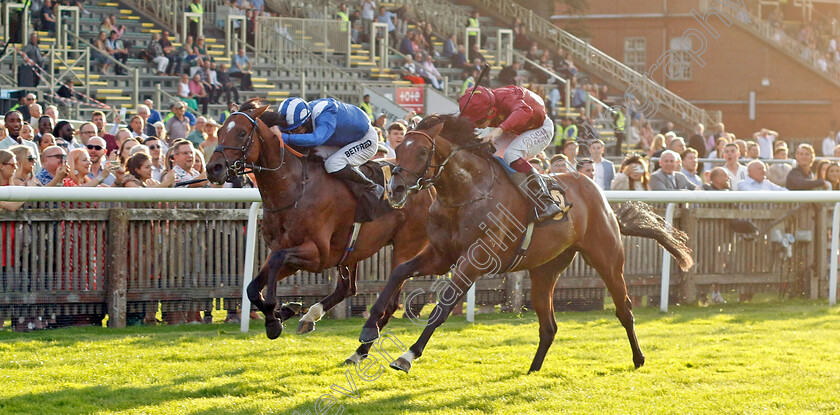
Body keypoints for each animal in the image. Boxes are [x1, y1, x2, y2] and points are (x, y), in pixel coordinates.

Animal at [208, 98, 436, 360]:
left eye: (242, 133)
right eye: (219, 131)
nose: (213, 168)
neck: (294, 188)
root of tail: (426, 184)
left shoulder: (317, 255)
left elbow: (276, 261)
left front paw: (274, 319)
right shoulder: (289, 252)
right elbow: (252, 287)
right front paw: (281, 313)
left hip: (405, 246)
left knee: (389, 301)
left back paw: (360, 349)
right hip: (352, 250)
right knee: (348, 288)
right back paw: (309, 317)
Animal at [358, 114, 692, 374]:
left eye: (423, 150)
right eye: (398, 147)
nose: (395, 188)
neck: (466, 192)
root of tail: (600, 195)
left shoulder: (475, 260)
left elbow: (443, 305)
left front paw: (407, 355)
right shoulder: (440, 255)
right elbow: (398, 272)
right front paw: (364, 338)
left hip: (606, 258)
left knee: (624, 310)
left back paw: (638, 358)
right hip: (545, 270)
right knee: (549, 325)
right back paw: (533, 368)